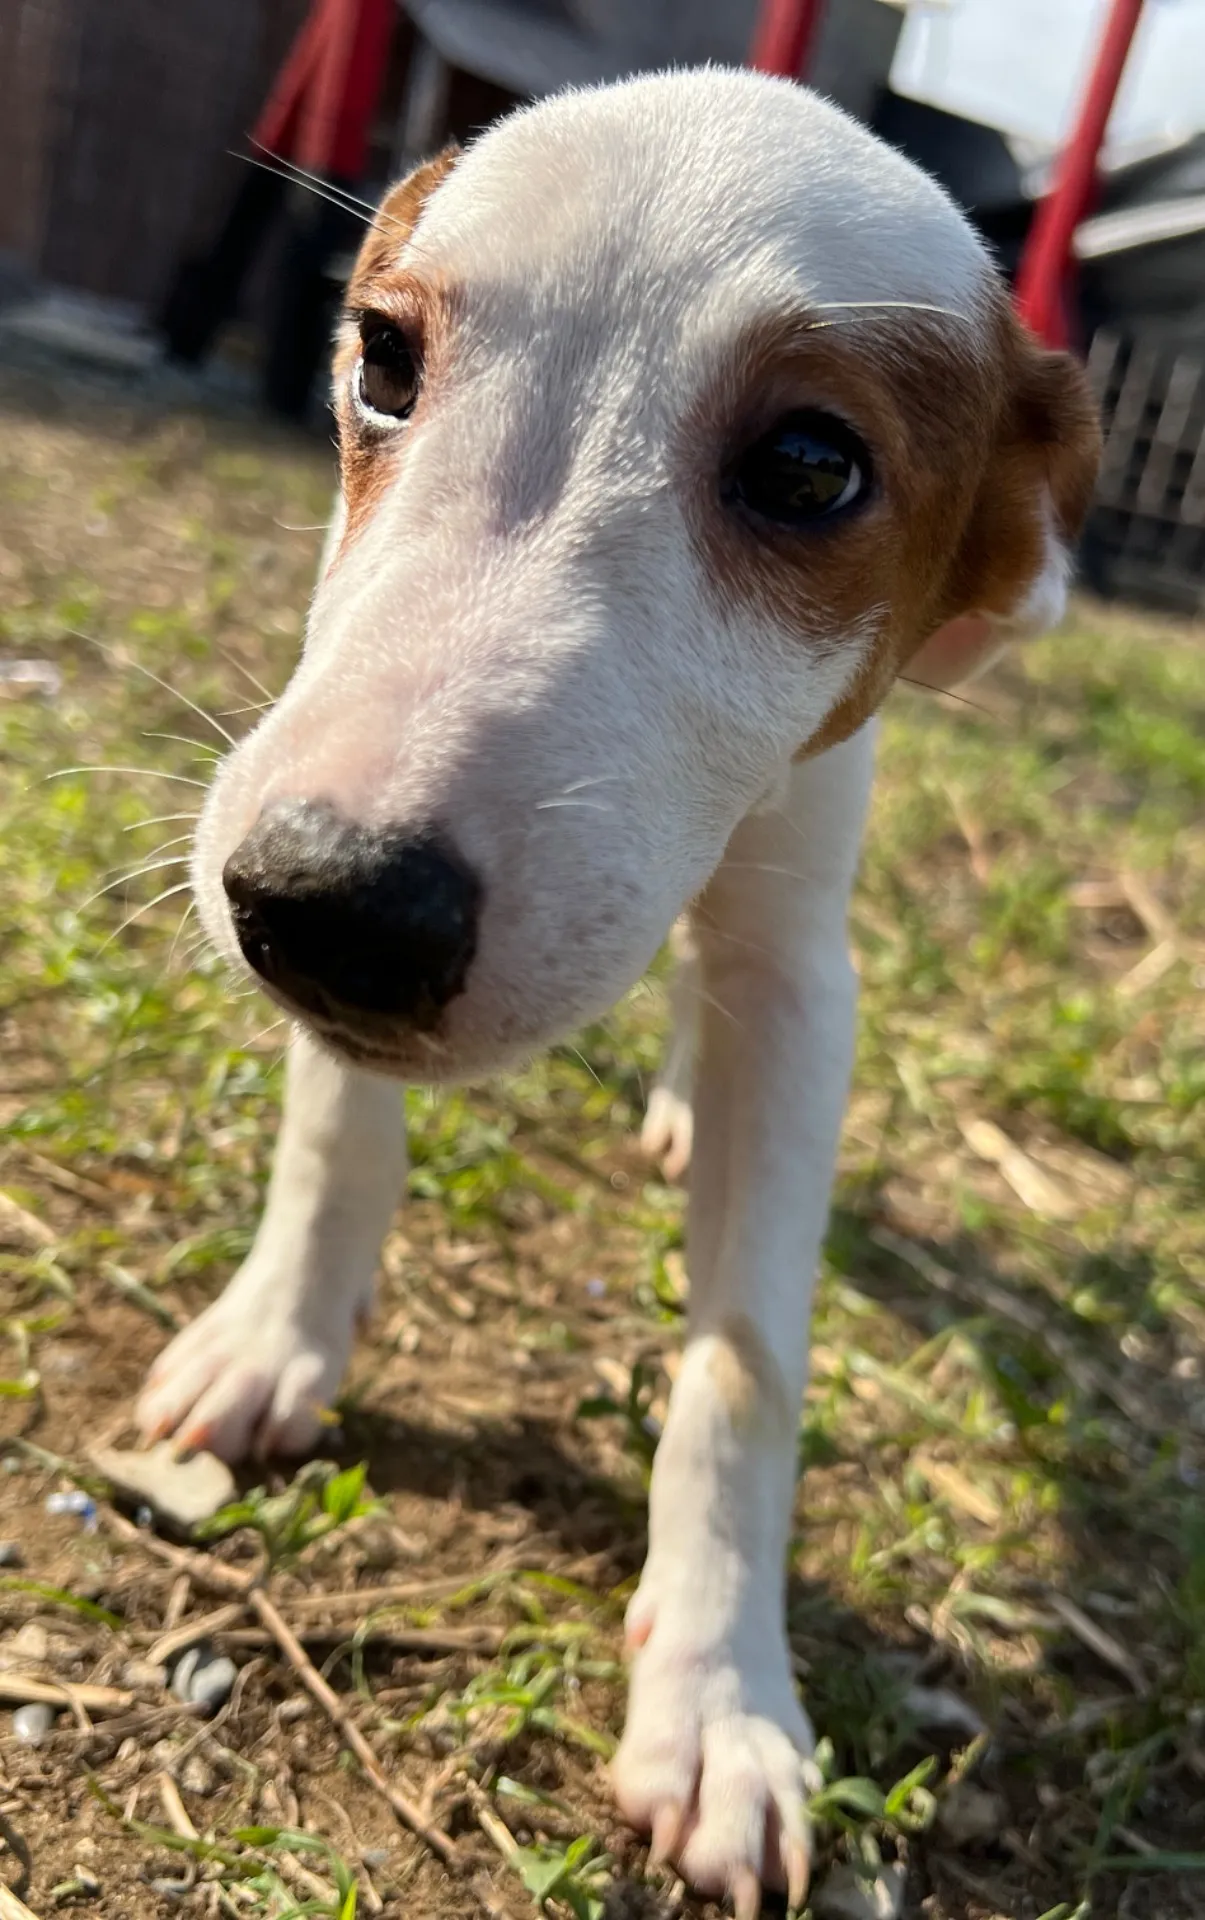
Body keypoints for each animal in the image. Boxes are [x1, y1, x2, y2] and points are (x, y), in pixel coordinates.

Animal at [134, 67, 1105, 1912]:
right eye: (382, 358)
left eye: (811, 465)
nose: (332, 908)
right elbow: (332, 1132)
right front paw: (273, 1332)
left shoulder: (798, 973)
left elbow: (746, 1361)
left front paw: (717, 1694)